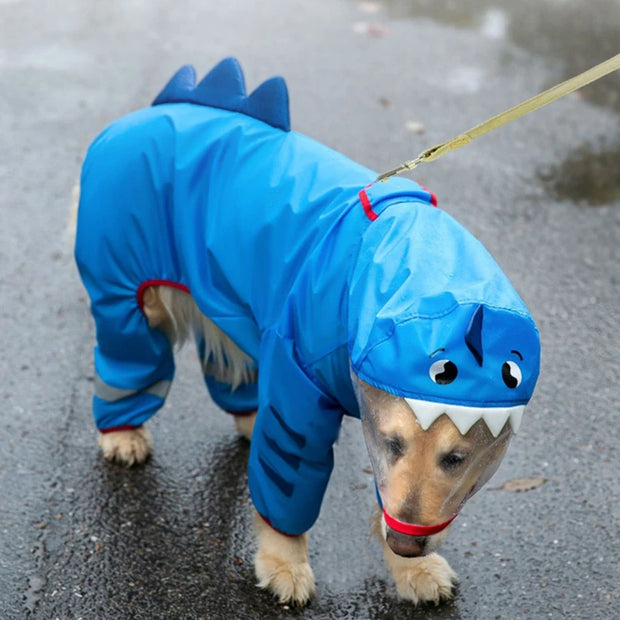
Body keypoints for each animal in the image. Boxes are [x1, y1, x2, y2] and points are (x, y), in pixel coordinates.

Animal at [75, 59, 540, 604]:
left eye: (458, 458)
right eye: (394, 443)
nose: (406, 545)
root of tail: (148, 113)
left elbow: (387, 497)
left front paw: (411, 570)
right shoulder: (300, 384)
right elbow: (288, 478)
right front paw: (285, 563)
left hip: (226, 297)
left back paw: (247, 417)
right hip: (127, 293)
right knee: (130, 358)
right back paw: (124, 432)